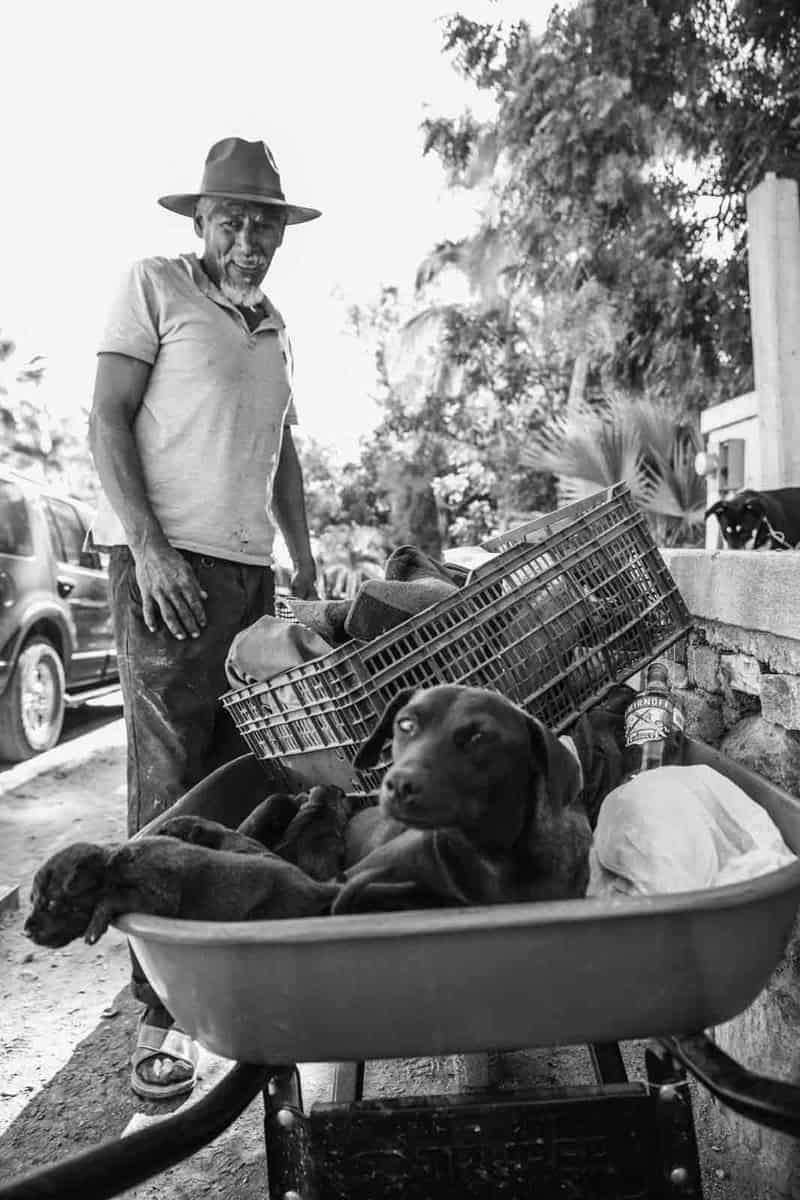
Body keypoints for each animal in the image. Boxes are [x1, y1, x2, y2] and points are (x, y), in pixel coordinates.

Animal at [24, 837, 339, 947]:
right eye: (33, 901)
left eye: (51, 903)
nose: (26, 932)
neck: (114, 865)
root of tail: (317, 886)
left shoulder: (160, 894)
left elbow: (111, 898)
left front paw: (94, 927)